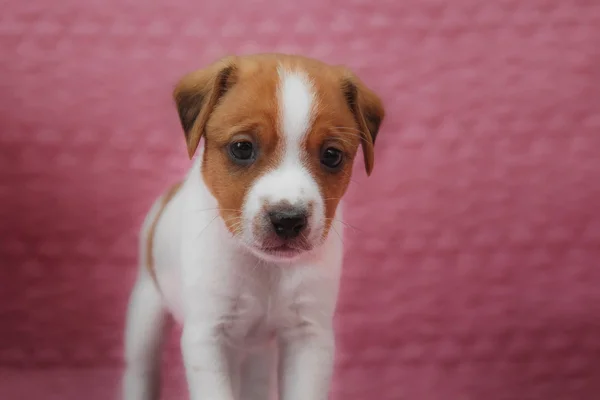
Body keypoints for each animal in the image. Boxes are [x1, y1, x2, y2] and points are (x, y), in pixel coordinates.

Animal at [122, 54, 384, 400]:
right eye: (242, 148)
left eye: (332, 155)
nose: (288, 219)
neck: (266, 268)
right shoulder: (208, 336)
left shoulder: (308, 337)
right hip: (146, 313)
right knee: (141, 370)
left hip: (256, 354)